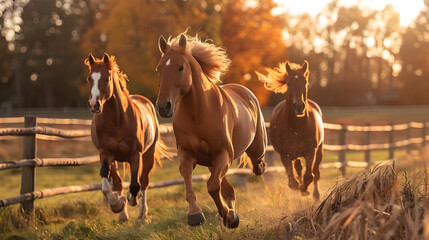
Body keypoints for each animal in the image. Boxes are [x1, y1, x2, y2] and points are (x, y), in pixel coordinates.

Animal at [84, 53, 170, 222]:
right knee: (118, 182)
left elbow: (136, 185)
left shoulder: (135, 155)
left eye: (107, 78)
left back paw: (142, 214)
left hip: (148, 154)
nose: (94, 104)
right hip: (116, 160)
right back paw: (123, 213)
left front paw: (132, 199)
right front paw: (117, 205)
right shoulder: (106, 154)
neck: (117, 120)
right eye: (89, 78)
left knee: (144, 181)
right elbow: (107, 185)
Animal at [155, 32, 266, 228]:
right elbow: (188, 175)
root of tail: (245, 92)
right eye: (158, 69)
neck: (199, 113)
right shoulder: (187, 153)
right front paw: (196, 215)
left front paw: (228, 217)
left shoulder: (223, 153)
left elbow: (212, 186)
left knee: (256, 163)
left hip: (254, 148)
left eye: (180, 67)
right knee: (228, 189)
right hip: (212, 163)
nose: (163, 107)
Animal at [256, 61, 322, 200]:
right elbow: (293, 183)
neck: (297, 126)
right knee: (298, 168)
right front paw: (302, 189)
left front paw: (305, 189)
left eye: (305, 82)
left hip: (319, 150)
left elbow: (309, 176)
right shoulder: (285, 155)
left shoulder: (311, 151)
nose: (299, 106)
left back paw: (316, 194)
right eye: (289, 83)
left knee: (316, 172)